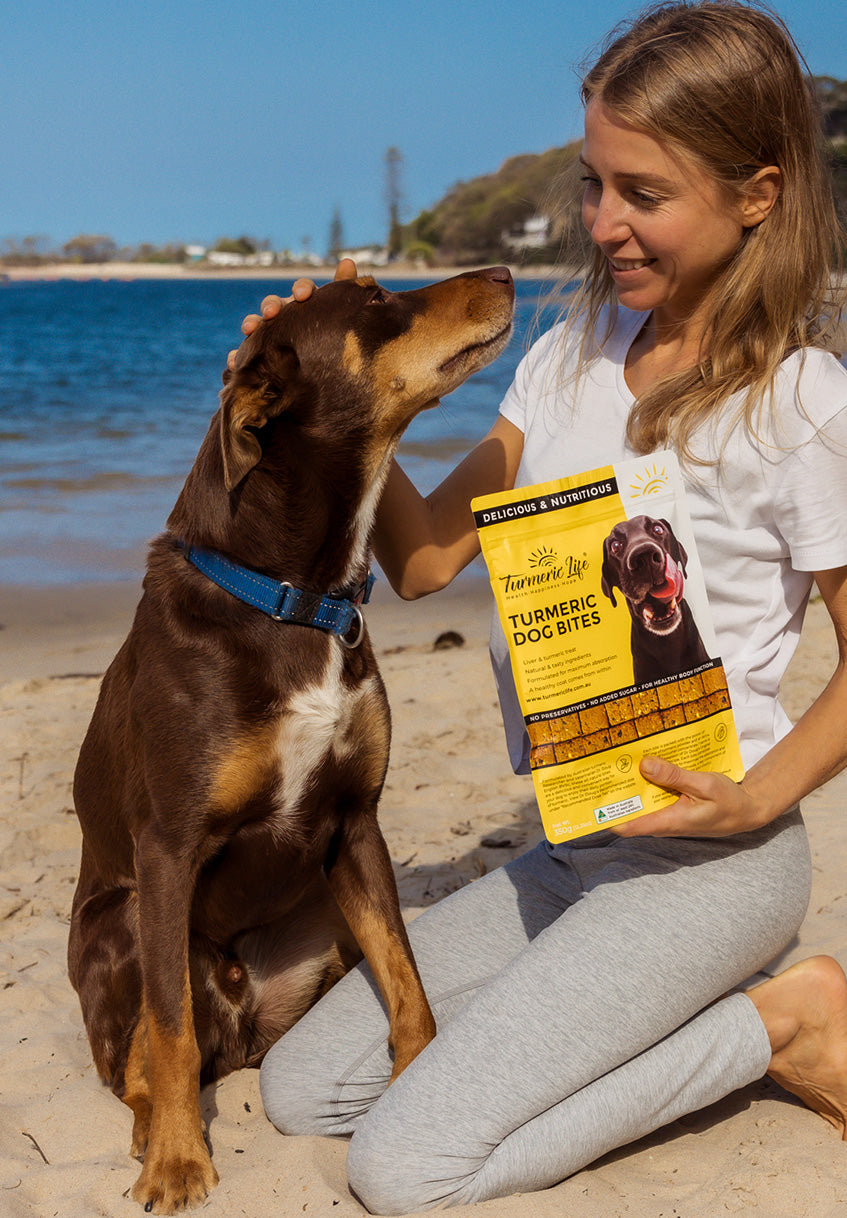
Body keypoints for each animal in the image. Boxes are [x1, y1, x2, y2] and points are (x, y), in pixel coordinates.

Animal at [68, 266, 514, 1214]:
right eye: (375, 301)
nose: (502, 274)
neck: (293, 596)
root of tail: (245, 1019)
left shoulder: (354, 824)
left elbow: (407, 981)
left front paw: (417, 1077)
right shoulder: (167, 850)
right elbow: (169, 1027)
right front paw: (178, 1160)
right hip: (121, 923)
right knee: (140, 1059)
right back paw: (150, 1129)